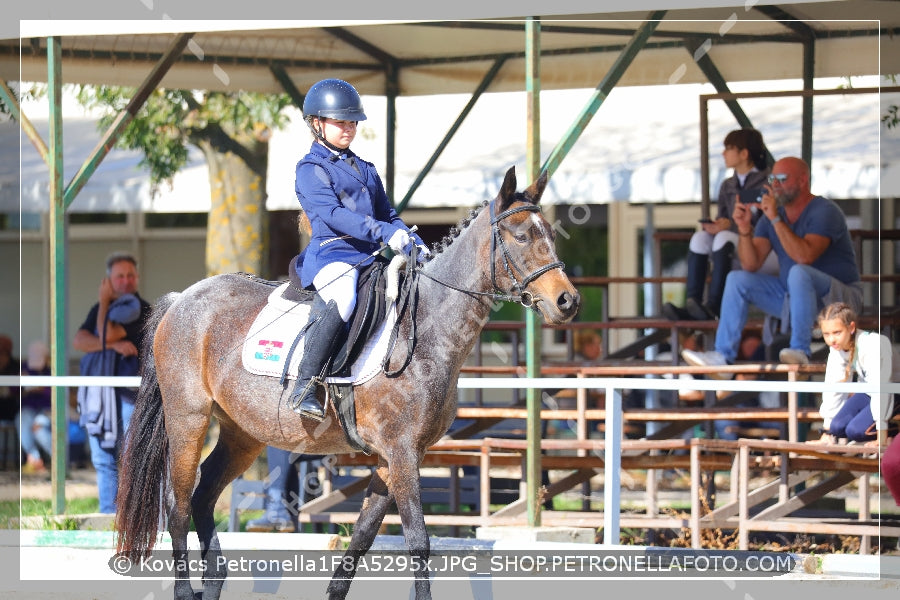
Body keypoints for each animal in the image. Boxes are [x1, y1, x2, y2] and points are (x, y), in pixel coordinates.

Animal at [116, 165, 580, 600]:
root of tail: (183, 299)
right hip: (188, 420)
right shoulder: (402, 452)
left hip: (242, 434)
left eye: (548, 235)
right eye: (521, 236)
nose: (568, 302)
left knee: (203, 495)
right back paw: (184, 589)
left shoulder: (394, 457)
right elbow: (418, 540)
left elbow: (363, 535)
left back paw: (213, 582)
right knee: (178, 505)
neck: (428, 327)